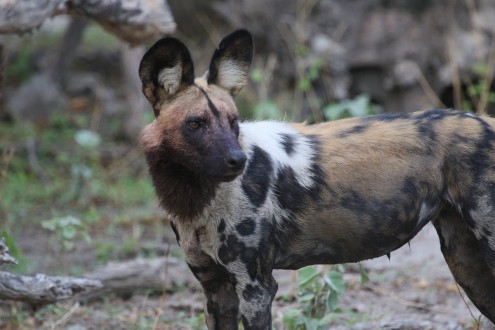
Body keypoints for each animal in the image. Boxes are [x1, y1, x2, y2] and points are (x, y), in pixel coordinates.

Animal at [139, 30, 495, 328]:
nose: (238, 160)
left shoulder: (256, 288)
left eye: (233, 121)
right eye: (195, 123)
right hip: (466, 264)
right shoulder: (216, 289)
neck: (195, 198)